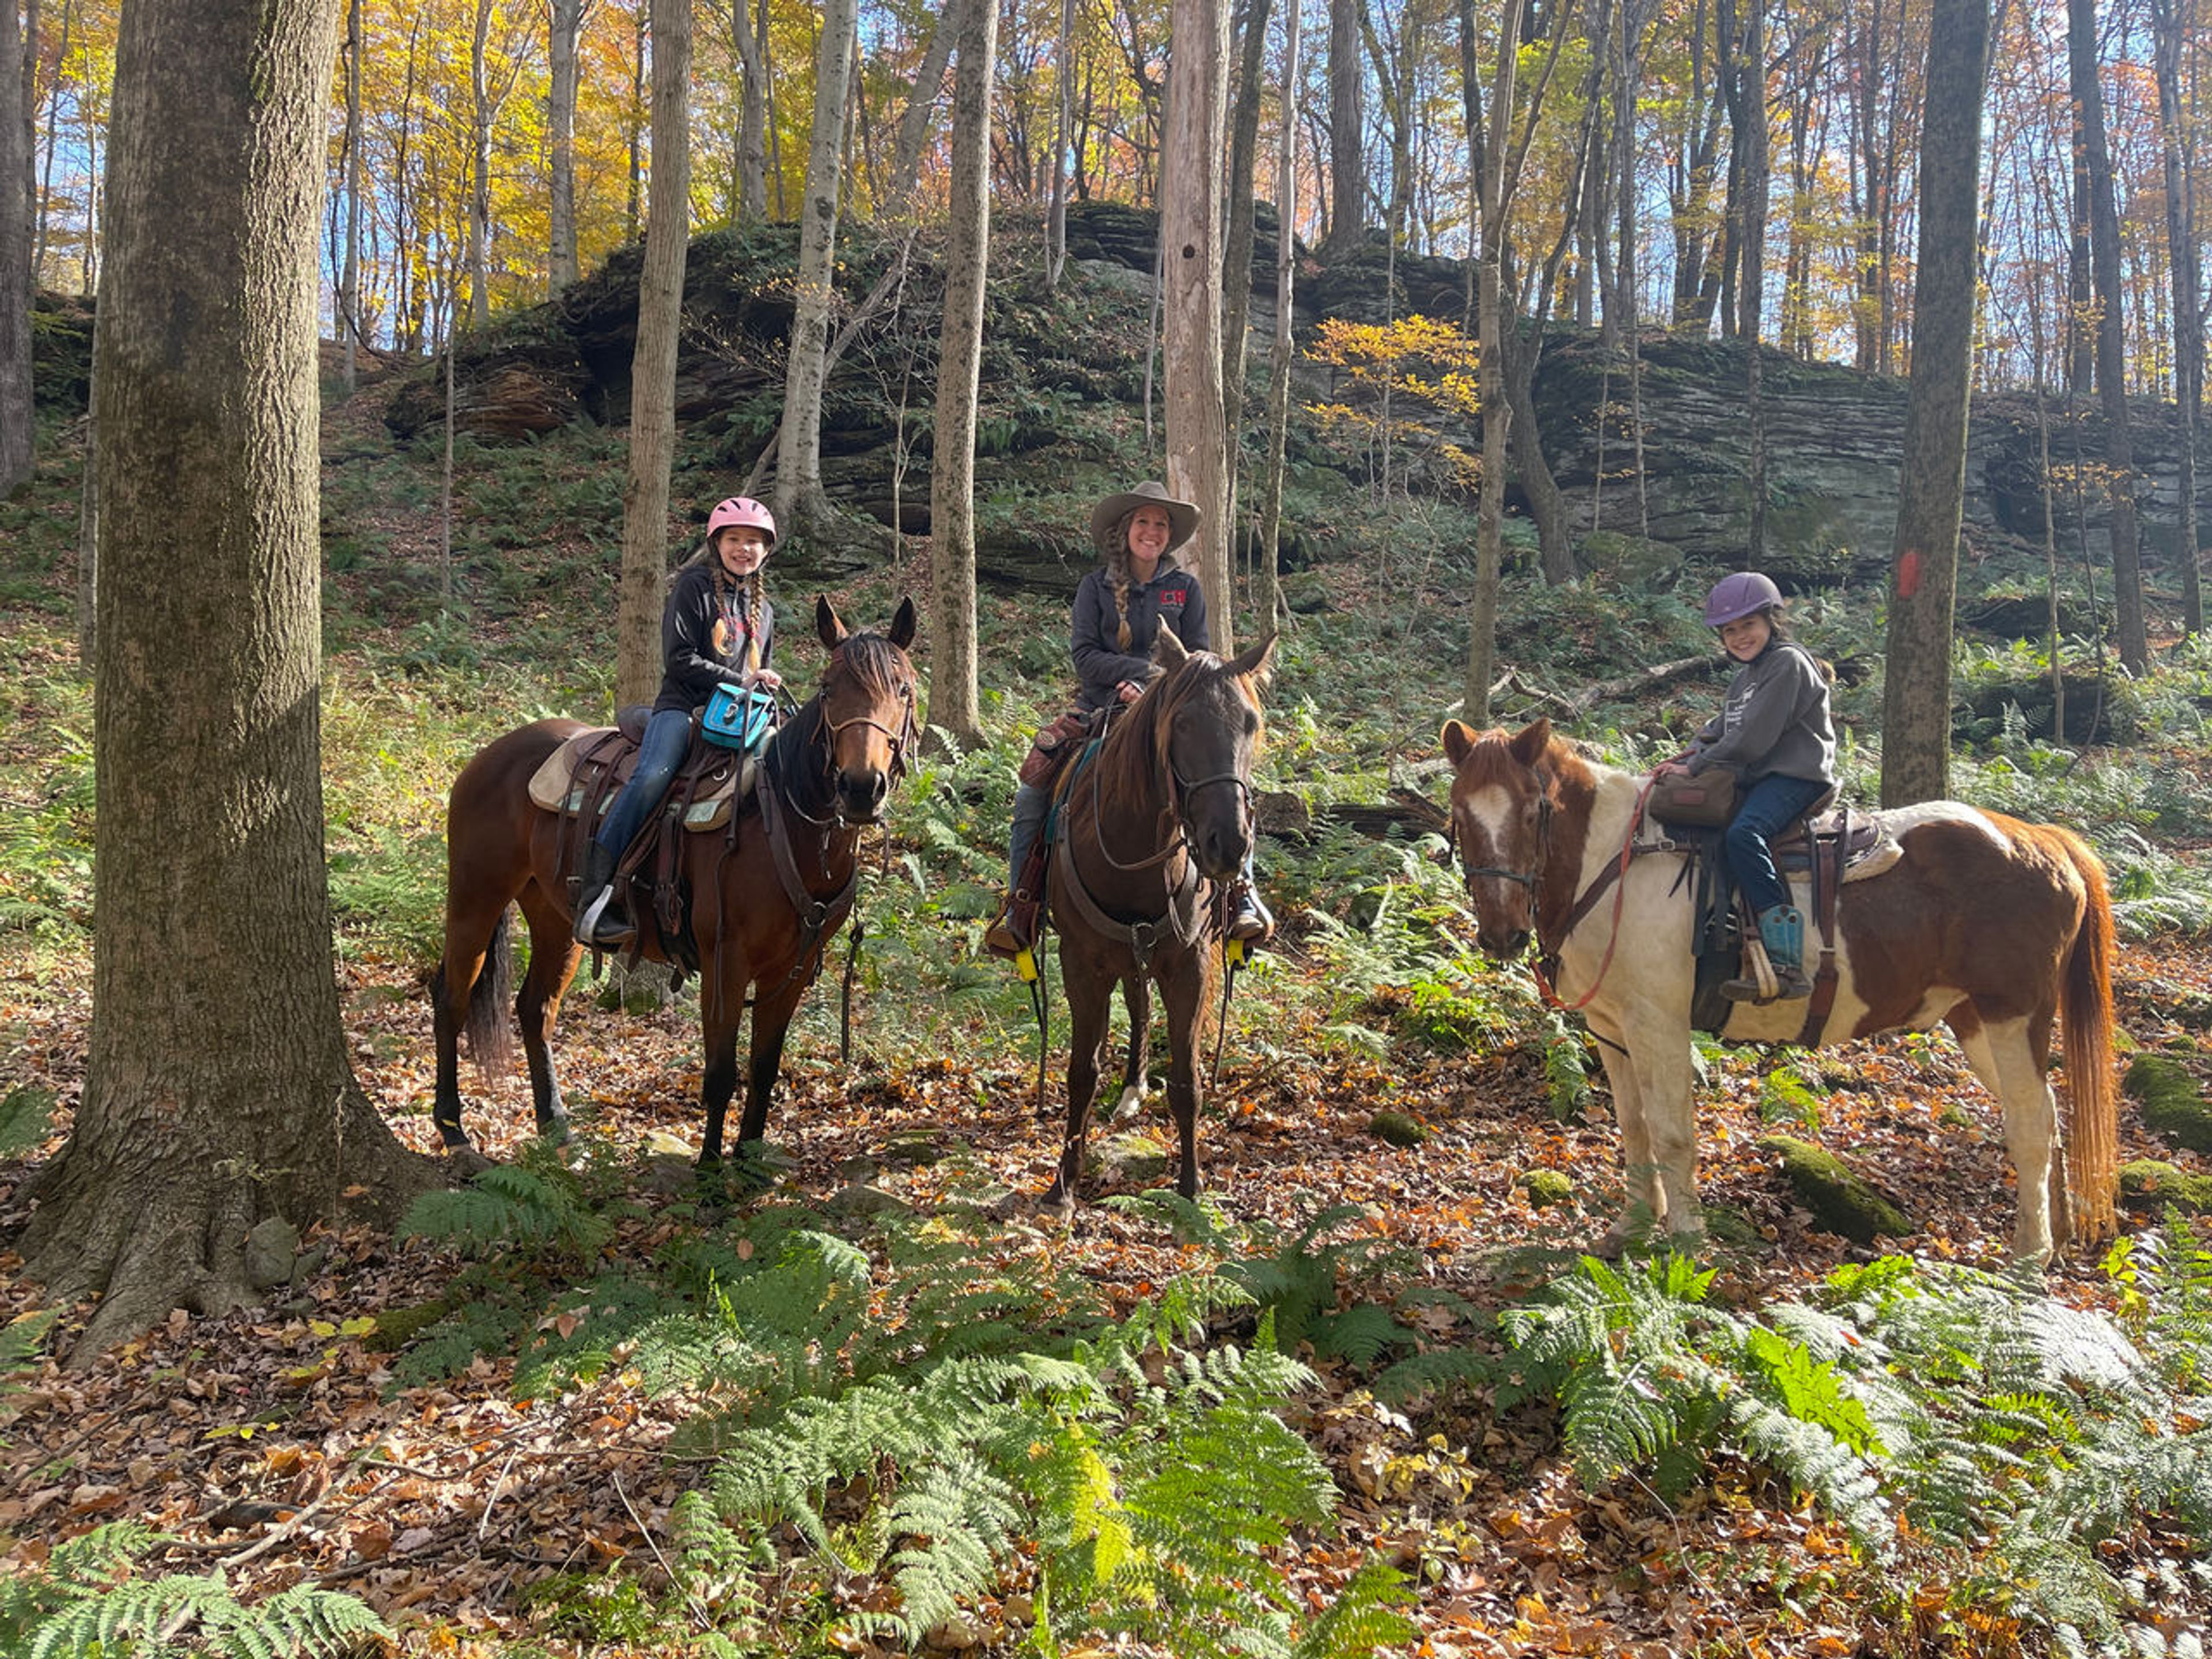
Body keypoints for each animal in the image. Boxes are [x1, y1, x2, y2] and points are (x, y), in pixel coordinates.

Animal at [431, 601, 915, 1168]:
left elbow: (765, 1071)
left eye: (904, 689)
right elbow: (722, 1075)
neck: (784, 820)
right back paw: (454, 1130)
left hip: (554, 916)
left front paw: (750, 1167)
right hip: (476, 896)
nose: (861, 788)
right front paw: (709, 1174)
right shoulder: (725, 962)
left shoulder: (791, 971)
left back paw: (556, 1127)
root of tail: (491, 753)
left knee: (536, 1009)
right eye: (828, 688)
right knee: (452, 999)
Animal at [1048, 628, 1291, 1212]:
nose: (1229, 844)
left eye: (1250, 722)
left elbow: (1187, 1081)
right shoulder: (1080, 963)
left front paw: (1190, 1183)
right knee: (1135, 1004)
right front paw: (1063, 1185)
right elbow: (1082, 1073)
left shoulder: (1190, 965)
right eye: (1181, 723)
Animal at [1442, 721, 2115, 1265]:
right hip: (1976, 1022)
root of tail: (2046, 841)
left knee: (2030, 1124)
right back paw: (2054, 1241)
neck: (1615, 863)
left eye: (1534, 812)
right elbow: (1633, 1127)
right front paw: (1630, 1227)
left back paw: (2028, 1256)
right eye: (1460, 814)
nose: (1502, 934)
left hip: (2013, 1016)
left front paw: (1688, 1241)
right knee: (2047, 1118)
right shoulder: (1612, 1029)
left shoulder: (1660, 1025)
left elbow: (1672, 1132)